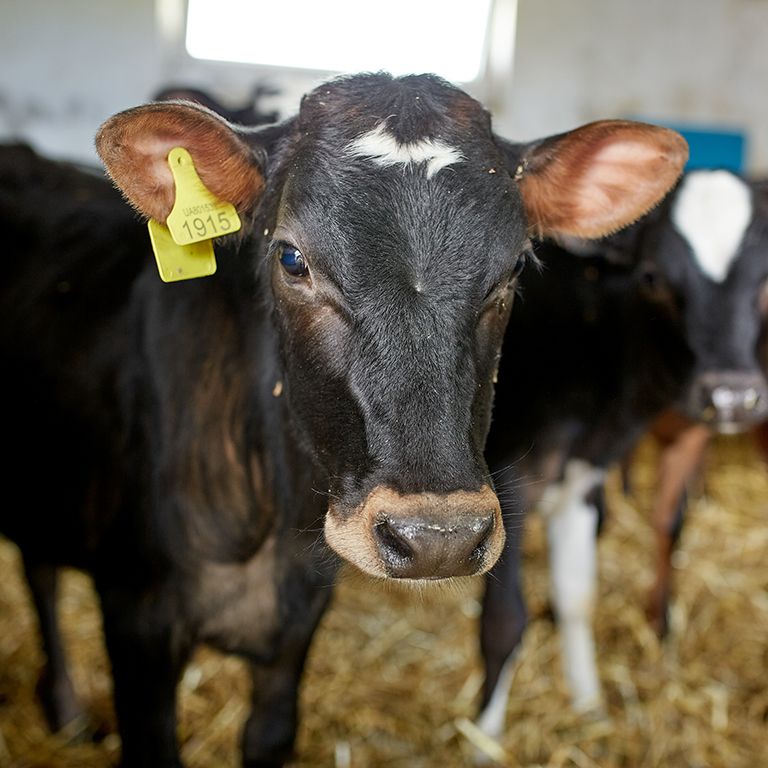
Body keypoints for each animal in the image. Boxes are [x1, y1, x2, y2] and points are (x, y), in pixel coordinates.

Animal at [476, 166, 768, 732]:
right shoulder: (505, 480)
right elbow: (503, 621)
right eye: (651, 277)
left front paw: (589, 708)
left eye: (767, 281)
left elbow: (577, 596)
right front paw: (482, 735)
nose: (731, 395)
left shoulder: (580, 478)